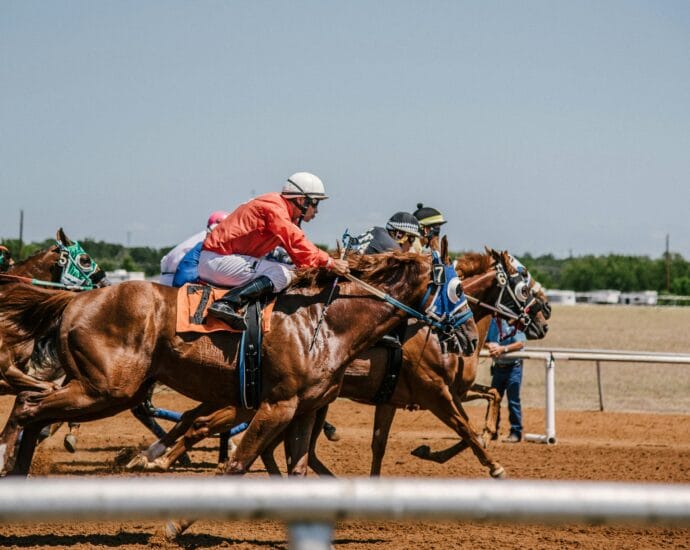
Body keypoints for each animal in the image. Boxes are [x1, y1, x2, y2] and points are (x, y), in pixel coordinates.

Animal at [0, 246, 477, 476]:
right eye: (457, 289)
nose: (472, 338)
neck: (324, 322)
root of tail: (77, 299)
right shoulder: (278, 404)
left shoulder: (302, 407)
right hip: (107, 389)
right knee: (28, 407)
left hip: (107, 389)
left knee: (35, 412)